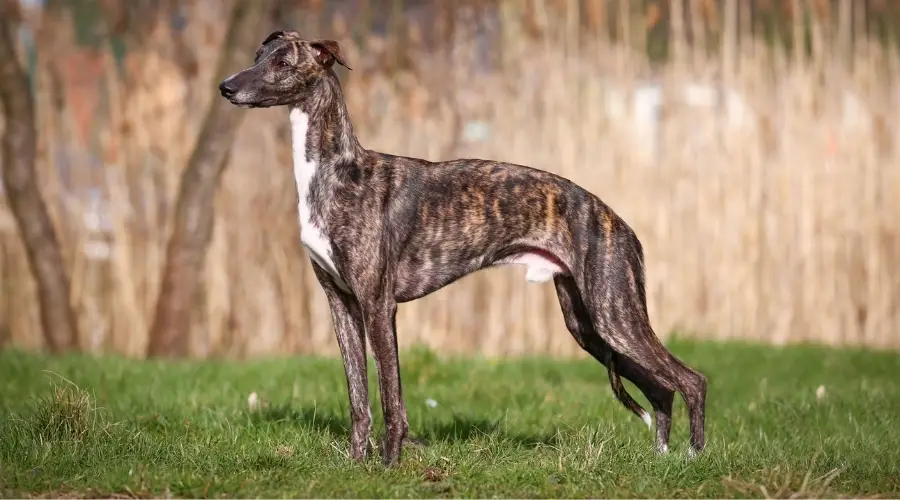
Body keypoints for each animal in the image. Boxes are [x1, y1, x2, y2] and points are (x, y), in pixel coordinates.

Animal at [220, 30, 712, 468]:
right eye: (258, 56)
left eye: (283, 62)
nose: (226, 87)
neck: (338, 171)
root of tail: (621, 223)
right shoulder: (340, 302)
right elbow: (359, 400)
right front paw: (355, 467)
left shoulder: (378, 305)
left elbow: (391, 398)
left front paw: (388, 468)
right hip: (588, 323)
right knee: (660, 387)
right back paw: (662, 459)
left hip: (614, 313)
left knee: (692, 380)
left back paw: (693, 458)